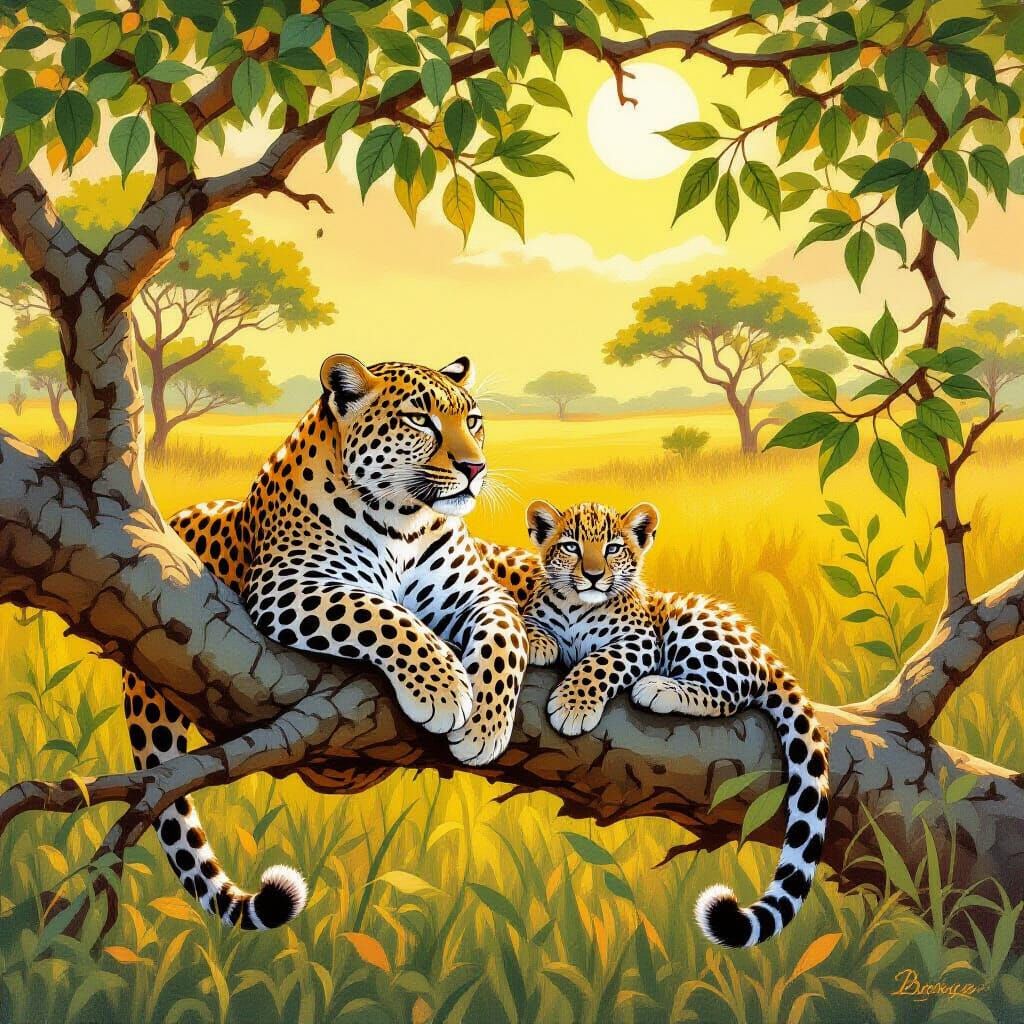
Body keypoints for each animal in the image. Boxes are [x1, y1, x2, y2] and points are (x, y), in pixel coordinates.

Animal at [123, 354, 529, 931]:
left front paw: (487, 726)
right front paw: (444, 690)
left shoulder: (480, 593)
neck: (405, 523)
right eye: (420, 421)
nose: (475, 468)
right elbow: (381, 613)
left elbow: (505, 639)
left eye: (473, 421)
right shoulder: (286, 587)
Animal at [502, 498, 829, 948]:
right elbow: (534, 622)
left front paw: (573, 705)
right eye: (571, 546)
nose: (593, 575)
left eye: (613, 548)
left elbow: (598, 662)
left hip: (690, 624)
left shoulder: (639, 642)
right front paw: (537, 641)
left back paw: (659, 688)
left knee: (732, 692)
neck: (576, 607)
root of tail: (766, 652)